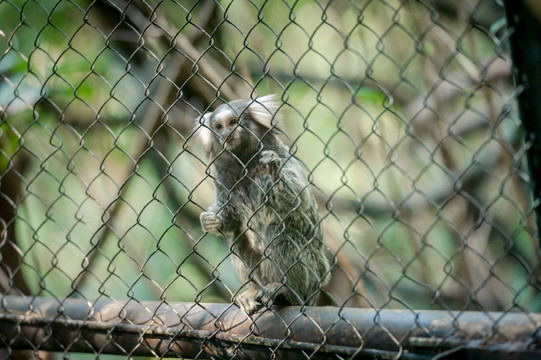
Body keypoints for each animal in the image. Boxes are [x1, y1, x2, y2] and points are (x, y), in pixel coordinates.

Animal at [195, 94, 330, 314]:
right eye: (218, 126)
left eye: (233, 121)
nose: (226, 134)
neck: (245, 164)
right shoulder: (222, 180)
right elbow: (231, 221)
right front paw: (212, 221)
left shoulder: (285, 159)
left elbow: (301, 202)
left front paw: (275, 173)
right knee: (237, 239)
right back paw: (252, 293)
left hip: (314, 274)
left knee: (279, 232)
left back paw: (287, 293)